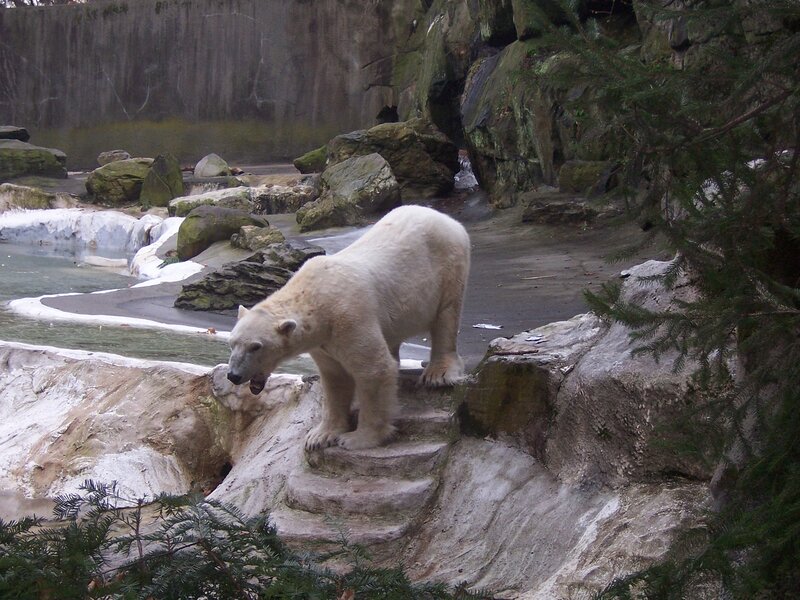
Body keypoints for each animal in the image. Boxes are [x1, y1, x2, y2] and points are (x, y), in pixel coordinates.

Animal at [226, 205, 470, 451]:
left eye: (256, 346)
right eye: (232, 343)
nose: (233, 375)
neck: (315, 299)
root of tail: (444, 217)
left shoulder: (349, 317)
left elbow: (374, 369)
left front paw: (358, 438)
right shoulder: (323, 341)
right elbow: (335, 379)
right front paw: (319, 436)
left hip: (447, 266)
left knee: (446, 315)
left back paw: (438, 373)